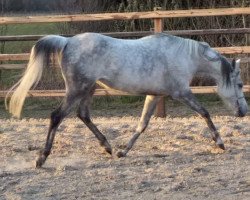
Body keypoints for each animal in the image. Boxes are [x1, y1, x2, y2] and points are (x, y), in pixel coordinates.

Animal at [5, 32, 248, 167]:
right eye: (239, 84)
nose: (243, 111)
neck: (185, 56)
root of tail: (66, 41)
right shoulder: (181, 93)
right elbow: (205, 113)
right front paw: (220, 143)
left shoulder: (155, 95)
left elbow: (142, 125)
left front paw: (123, 151)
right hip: (77, 89)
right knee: (57, 116)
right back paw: (41, 158)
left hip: (88, 89)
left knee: (83, 115)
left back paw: (108, 147)